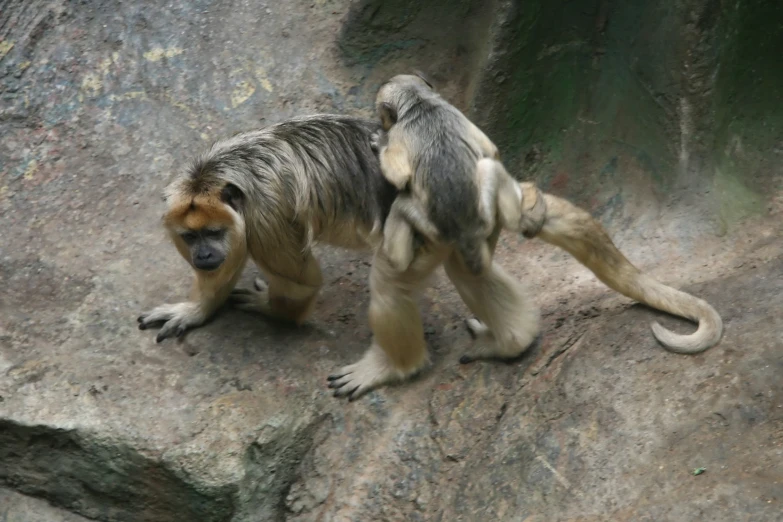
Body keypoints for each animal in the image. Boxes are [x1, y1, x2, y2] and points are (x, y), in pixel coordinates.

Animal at [370, 75, 544, 274]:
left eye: (383, 117)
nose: (383, 122)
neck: (419, 103)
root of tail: (466, 233)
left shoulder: (398, 133)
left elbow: (399, 176)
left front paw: (381, 142)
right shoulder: (454, 111)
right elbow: (491, 151)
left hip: (438, 231)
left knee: (400, 206)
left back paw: (398, 262)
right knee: (490, 166)